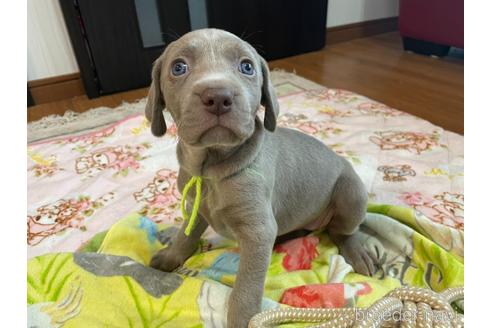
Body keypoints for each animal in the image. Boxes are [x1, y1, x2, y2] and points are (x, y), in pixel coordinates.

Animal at [144, 28, 374, 328]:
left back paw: (356, 251)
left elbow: (246, 287)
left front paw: (242, 319)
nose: (218, 97)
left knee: (343, 231)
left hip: (351, 193)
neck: (211, 170)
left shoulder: (258, 232)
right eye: (178, 67)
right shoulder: (197, 207)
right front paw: (172, 256)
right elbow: (186, 234)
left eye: (247, 67)